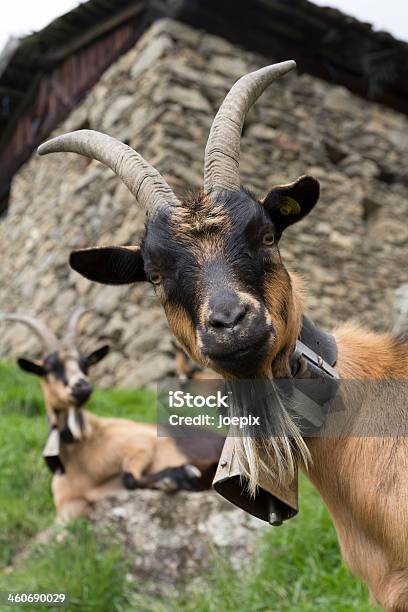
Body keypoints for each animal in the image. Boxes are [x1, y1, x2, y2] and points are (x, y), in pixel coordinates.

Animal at [0, 310, 223, 520]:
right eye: (48, 368)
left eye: (85, 365)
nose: (82, 386)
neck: (80, 455)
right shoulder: (67, 510)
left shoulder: (141, 445)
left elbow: (129, 478)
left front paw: (181, 475)